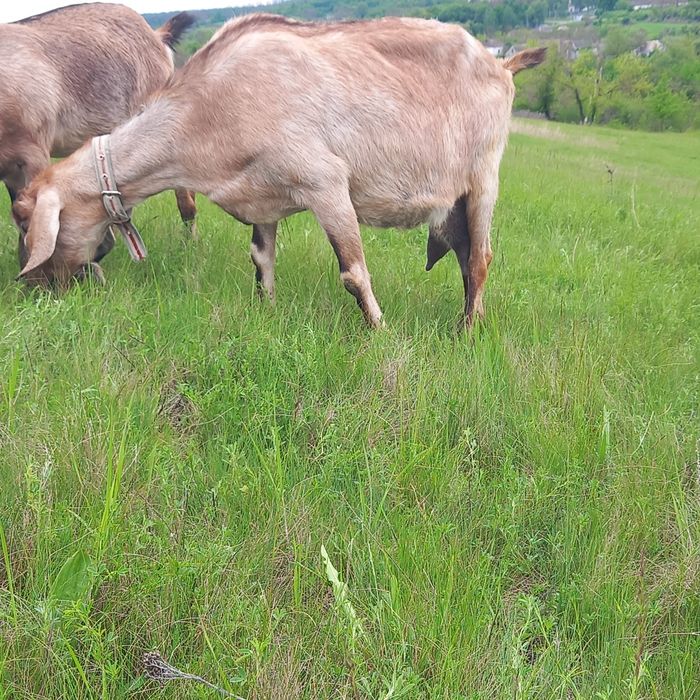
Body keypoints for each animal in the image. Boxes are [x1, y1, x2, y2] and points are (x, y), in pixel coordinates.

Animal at [14, 14, 545, 326]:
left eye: (25, 221)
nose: (36, 287)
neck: (207, 110)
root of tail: (502, 64)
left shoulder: (324, 179)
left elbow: (354, 272)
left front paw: (379, 330)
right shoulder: (262, 197)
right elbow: (261, 259)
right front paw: (266, 310)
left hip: (483, 178)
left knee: (480, 259)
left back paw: (467, 331)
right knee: (464, 254)